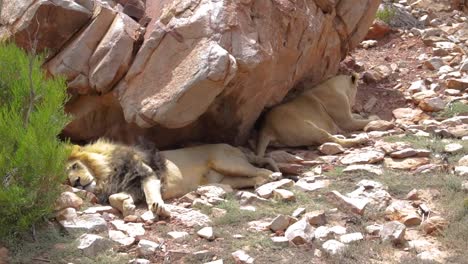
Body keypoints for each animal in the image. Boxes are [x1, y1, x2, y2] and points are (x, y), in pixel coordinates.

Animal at [65, 140, 278, 217]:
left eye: (75, 166)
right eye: (66, 180)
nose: (76, 182)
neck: (106, 175)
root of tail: (234, 147)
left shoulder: (147, 173)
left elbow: (151, 193)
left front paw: (158, 207)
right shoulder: (132, 187)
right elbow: (114, 197)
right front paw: (126, 205)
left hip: (227, 162)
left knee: (260, 170)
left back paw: (273, 176)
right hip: (226, 180)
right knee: (251, 178)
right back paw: (262, 183)